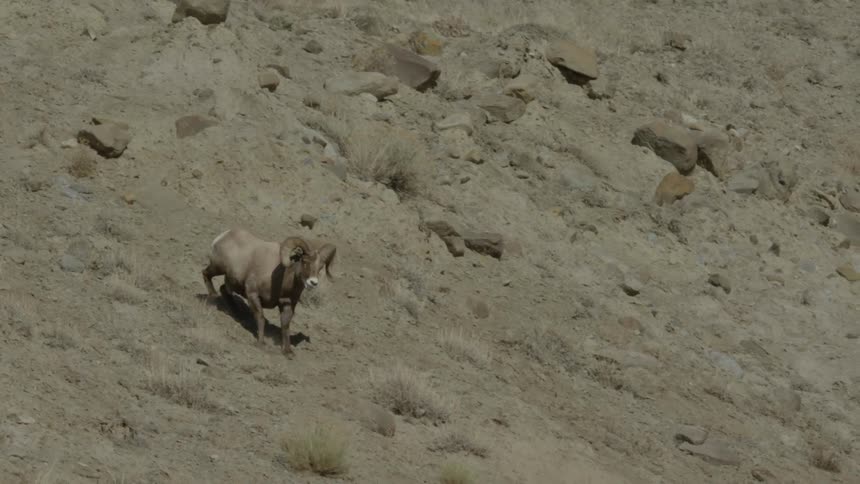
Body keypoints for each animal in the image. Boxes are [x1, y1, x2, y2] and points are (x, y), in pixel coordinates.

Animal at [201, 228, 336, 357]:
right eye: (304, 261)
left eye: (320, 267)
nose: (313, 283)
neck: (281, 279)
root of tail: (223, 236)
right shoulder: (253, 295)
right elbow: (260, 318)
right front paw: (261, 343)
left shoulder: (287, 305)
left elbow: (285, 325)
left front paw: (288, 352)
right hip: (218, 268)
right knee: (206, 274)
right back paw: (212, 299)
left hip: (232, 282)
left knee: (224, 289)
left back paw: (237, 314)